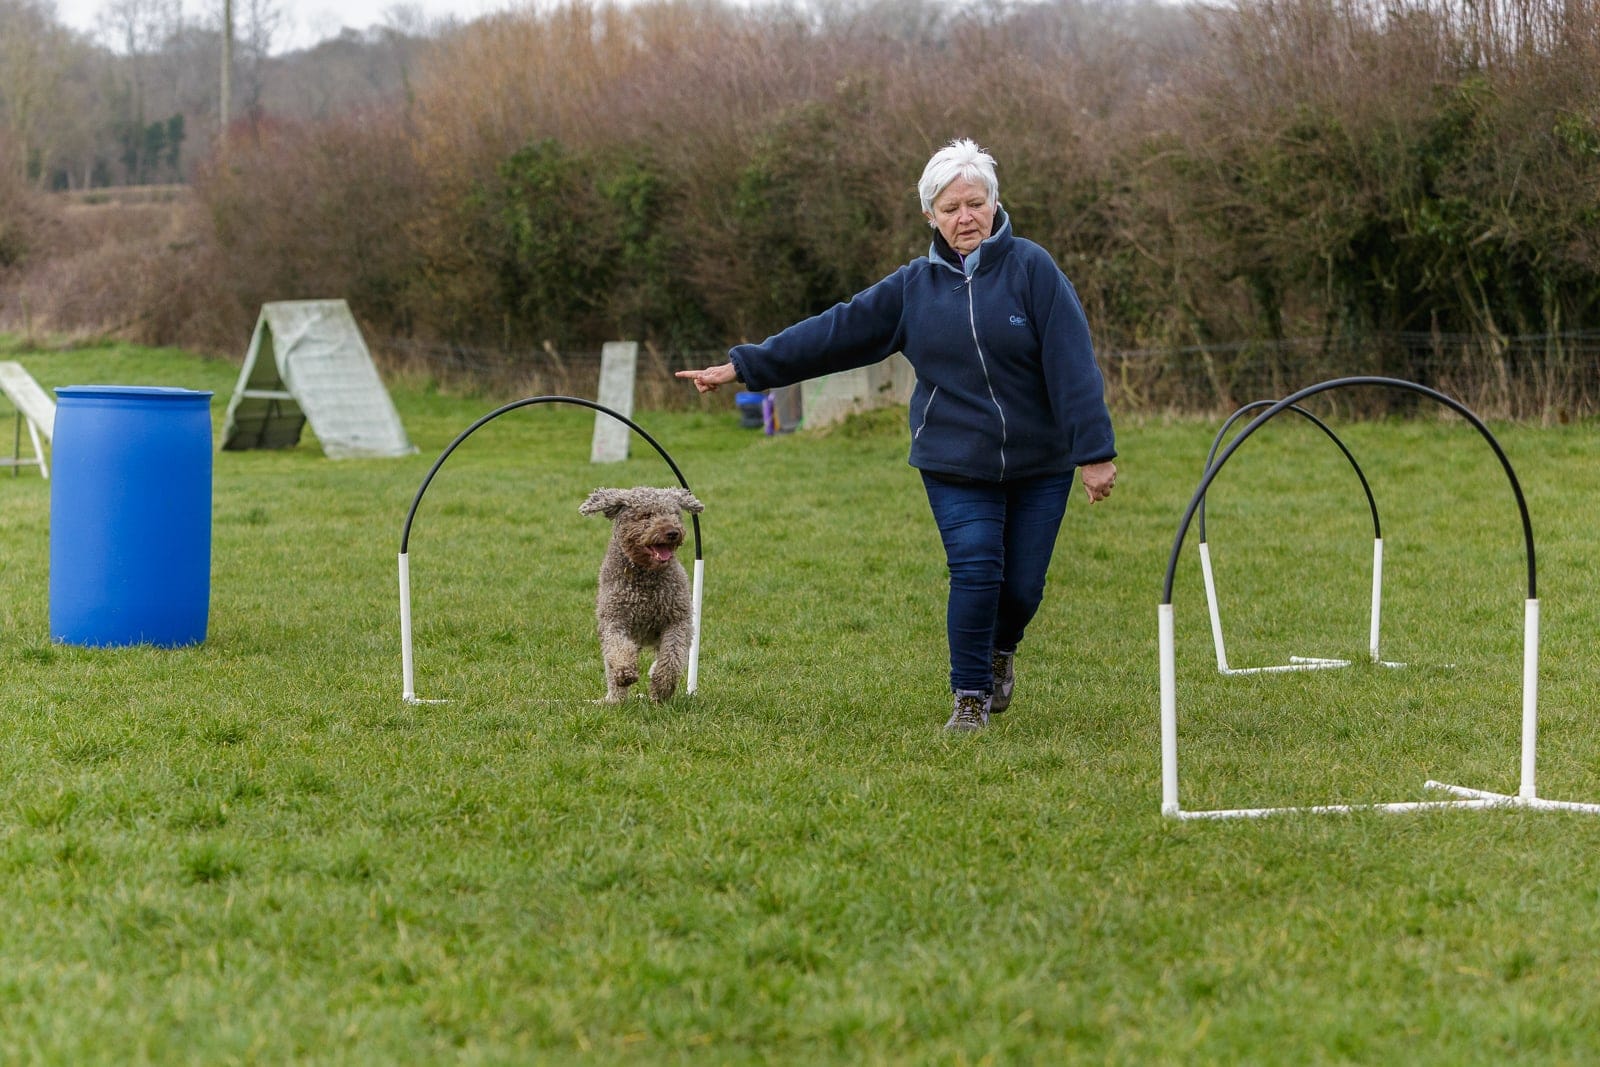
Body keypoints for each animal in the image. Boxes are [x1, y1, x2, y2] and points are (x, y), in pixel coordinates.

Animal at [576, 489, 700, 703]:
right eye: (646, 515)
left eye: (674, 514)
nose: (672, 532)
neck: (646, 577)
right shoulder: (614, 620)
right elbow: (618, 647)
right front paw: (625, 672)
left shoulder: (678, 620)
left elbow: (672, 655)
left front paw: (662, 686)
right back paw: (614, 700)